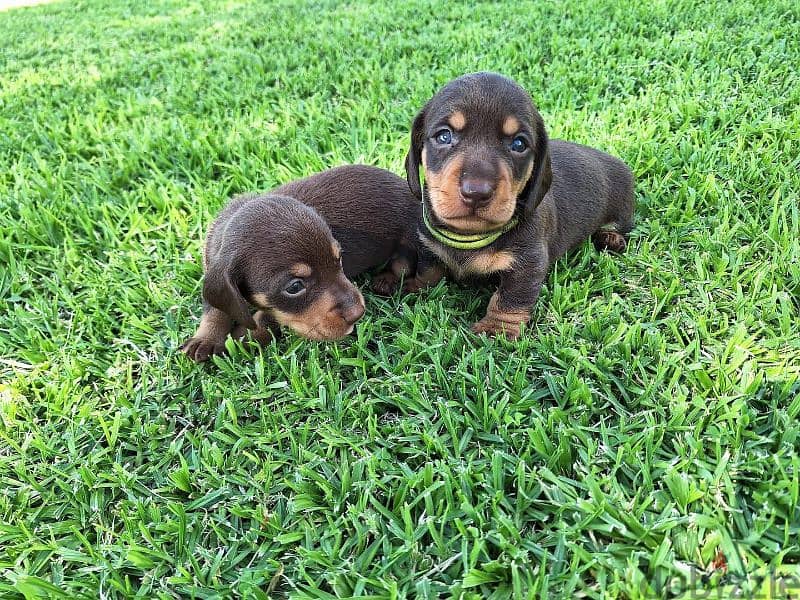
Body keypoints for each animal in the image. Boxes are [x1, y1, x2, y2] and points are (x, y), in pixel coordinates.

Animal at [184, 165, 416, 360]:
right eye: (295, 287)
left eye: (339, 259)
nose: (357, 313)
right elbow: (215, 308)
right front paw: (205, 339)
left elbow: (266, 318)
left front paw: (243, 336)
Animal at [390, 71, 636, 338]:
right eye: (444, 136)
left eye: (519, 144)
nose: (476, 192)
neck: (469, 236)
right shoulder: (428, 246)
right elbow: (429, 269)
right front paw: (411, 285)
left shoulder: (528, 263)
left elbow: (511, 297)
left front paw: (497, 328)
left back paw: (611, 238)